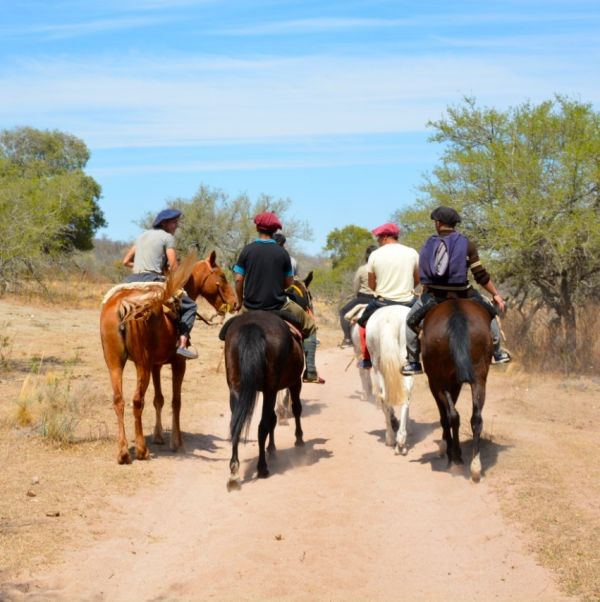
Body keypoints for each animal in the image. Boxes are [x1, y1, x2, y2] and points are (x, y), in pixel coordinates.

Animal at [100, 251, 237, 462]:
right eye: (222, 276)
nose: (235, 303)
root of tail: (125, 305)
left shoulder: (156, 365)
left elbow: (159, 399)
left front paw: (158, 436)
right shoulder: (178, 363)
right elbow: (176, 401)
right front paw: (177, 442)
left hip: (115, 363)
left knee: (118, 400)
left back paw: (123, 452)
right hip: (141, 365)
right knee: (137, 400)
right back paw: (141, 450)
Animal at [224, 310, 304, 488]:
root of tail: (252, 325)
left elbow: (274, 417)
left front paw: (272, 448)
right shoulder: (295, 382)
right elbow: (295, 409)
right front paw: (299, 439)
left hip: (236, 388)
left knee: (235, 424)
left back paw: (234, 471)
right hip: (271, 389)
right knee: (263, 425)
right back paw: (262, 468)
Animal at [366, 304, 412, 454]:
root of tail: (388, 321)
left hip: (377, 365)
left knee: (384, 396)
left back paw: (392, 438)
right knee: (405, 394)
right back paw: (400, 441)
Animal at [422, 298, 492, 480]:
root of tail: (456, 311)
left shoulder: (435, 383)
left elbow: (445, 416)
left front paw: (448, 449)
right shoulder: (457, 383)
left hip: (439, 381)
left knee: (451, 416)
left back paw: (454, 459)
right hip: (479, 378)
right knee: (476, 418)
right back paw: (475, 466)